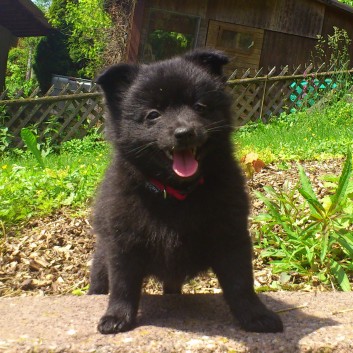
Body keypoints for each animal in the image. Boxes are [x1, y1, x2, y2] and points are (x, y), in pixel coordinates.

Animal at [88, 48, 284, 332]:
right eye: (153, 114)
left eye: (200, 107)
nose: (184, 132)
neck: (176, 195)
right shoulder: (123, 243)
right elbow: (123, 285)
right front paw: (117, 316)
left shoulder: (231, 235)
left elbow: (241, 283)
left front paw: (256, 315)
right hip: (103, 256)